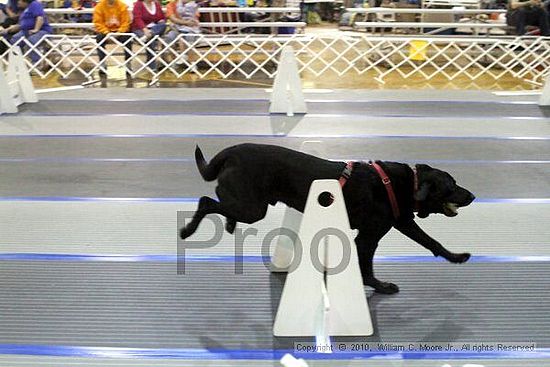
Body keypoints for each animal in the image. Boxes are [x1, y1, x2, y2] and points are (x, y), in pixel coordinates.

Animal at [180, 142, 474, 294]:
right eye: (452, 185)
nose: (473, 195)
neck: (404, 184)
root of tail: (233, 150)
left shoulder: (402, 221)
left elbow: (431, 241)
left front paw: (457, 257)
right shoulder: (368, 237)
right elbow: (366, 267)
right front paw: (379, 286)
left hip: (249, 205)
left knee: (221, 202)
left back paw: (229, 224)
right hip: (253, 208)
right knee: (207, 201)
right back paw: (188, 231)